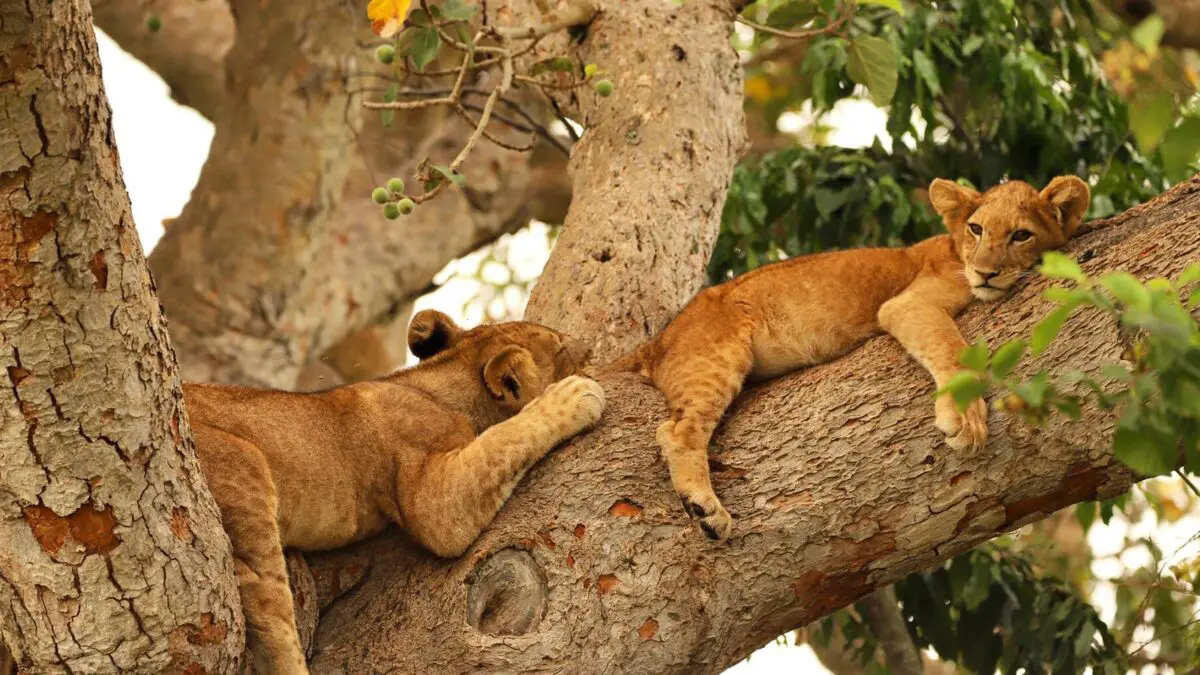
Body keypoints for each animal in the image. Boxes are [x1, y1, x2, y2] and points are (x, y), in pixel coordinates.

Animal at [186, 310, 604, 674]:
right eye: (561, 346)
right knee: (266, 608)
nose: (592, 348)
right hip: (241, 459)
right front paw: (575, 396)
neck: (440, 384)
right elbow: (504, 437)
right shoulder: (431, 497)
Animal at [609, 175, 1091, 542]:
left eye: (1021, 235)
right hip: (717, 355)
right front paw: (966, 419)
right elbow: (952, 351)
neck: (955, 253)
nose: (986, 273)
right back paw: (705, 508)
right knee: (677, 430)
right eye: (977, 229)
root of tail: (664, 334)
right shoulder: (907, 304)